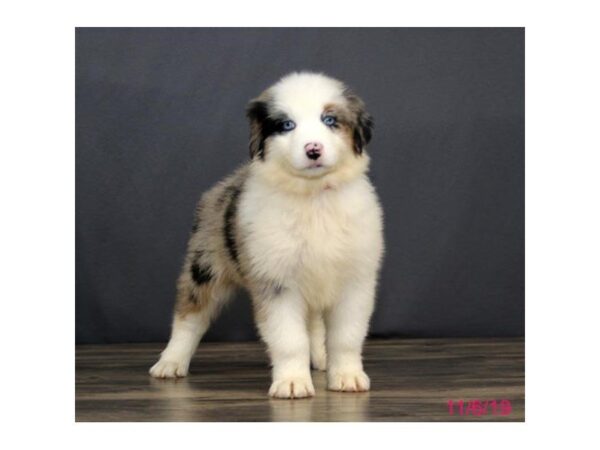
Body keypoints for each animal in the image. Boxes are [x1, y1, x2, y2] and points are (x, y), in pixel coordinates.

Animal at [150, 72, 384, 400]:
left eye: (329, 120)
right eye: (287, 125)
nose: (313, 149)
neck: (313, 197)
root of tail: (223, 185)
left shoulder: (355, 280)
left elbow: (346, 336)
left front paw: (347, 376)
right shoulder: (276, 282)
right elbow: (289, 339)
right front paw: (292, 383)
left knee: (314, 325)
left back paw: (320, 358)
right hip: (205, 265)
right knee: (189, 316)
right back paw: (170, 363)